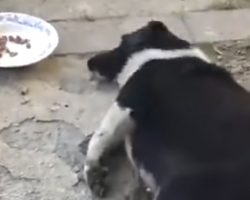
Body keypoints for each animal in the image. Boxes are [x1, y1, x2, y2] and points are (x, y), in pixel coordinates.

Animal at [83, 21, 250, 199]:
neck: (163, 54)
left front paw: (93, 172)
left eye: (122, 40)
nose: (89, 62)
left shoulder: (129, 99)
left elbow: (100, 136)